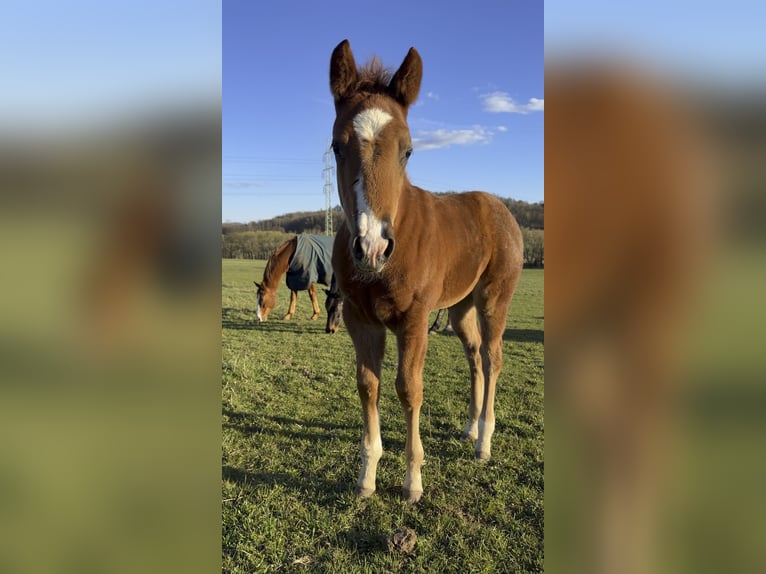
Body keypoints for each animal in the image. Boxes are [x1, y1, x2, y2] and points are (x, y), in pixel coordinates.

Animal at [329, 40, 524, 503]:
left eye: (408, 150)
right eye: (337, 147)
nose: (372, 247)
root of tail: (499, 207)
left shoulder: (414, 320)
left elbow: (408, 388)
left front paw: (412, 481)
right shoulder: (360, 320)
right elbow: (368, 385)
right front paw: (366, 477)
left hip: (493, 299)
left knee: (492, 358)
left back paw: (484, 442)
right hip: (460, 307)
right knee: (473, 355)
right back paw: (470, 428)